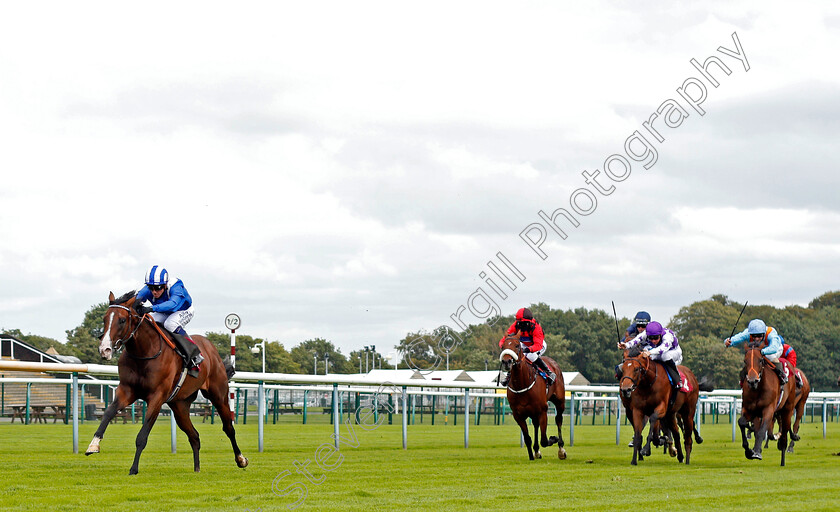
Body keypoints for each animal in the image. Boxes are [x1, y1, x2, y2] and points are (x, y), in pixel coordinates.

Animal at [86, 290, 249, 474]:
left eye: (122, 320)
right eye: (104, 319)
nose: (104, 349)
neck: (144, 353)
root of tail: (211, 348)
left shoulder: (157, 397)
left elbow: (142, 436)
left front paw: (133, 469)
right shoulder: (126, 391)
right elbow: (108, 413)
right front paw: (93, 445)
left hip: (218, 394)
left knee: (228, 428)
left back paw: (241, 459)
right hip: (180, 405)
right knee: (194, 436)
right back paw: (197, 469)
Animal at [498, 334, 572, 462]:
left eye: (517, 345)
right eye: (503, 346)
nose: (506, 361)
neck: (522, 383)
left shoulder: (543, 411)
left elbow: (545, 440)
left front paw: (554, 438)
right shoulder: (517, 415)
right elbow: (528, 438)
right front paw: (532, 456)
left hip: (559, 402)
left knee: (558, 419)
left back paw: (561, 450)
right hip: (533, 411)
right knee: (536, 424)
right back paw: (537, 451)